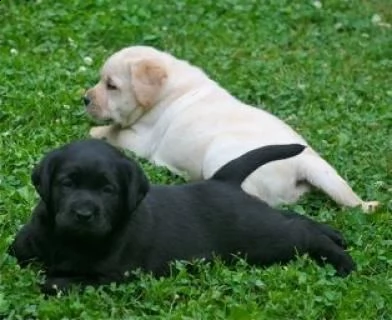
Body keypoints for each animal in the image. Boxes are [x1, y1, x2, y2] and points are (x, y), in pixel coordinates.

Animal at [8, 139, 356, 294]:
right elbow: (19, 253)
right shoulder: (22, 247)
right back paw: (335, 235)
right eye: (67, 183)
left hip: (260, 240)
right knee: (294, 219)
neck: (68, 240)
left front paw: (50, 278)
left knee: (301, 235)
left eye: (108, 190)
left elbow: (54, 281)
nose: (83, 213)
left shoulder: (113, 275)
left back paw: (343, 261)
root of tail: (222, 180)